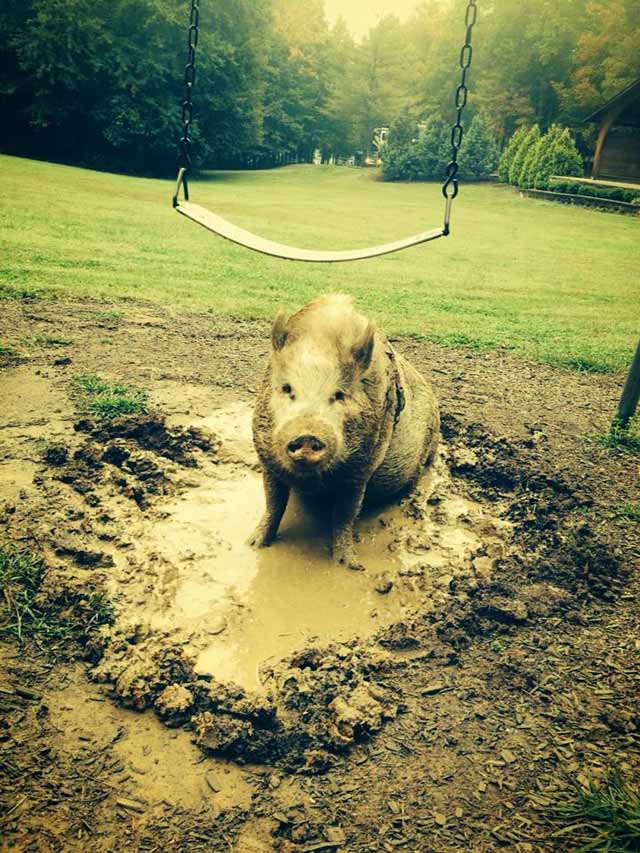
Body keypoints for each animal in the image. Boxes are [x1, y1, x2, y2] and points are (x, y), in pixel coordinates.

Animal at [250, 293, 439, 570]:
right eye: (286, 388)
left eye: (339, 394)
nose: (307, 435)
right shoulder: (267, 457)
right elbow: (273, 502)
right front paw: (254, 544)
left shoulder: (361, 469)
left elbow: (345, 515)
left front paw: (348, 565)